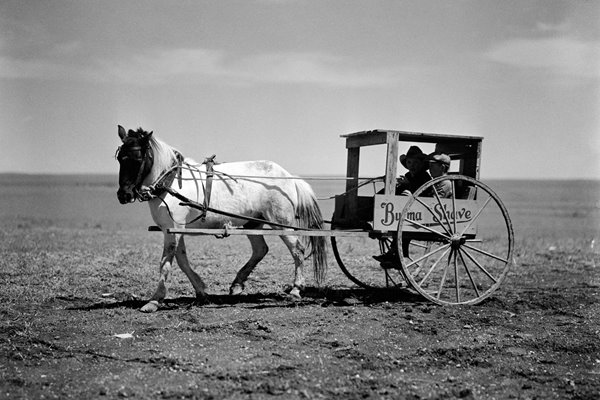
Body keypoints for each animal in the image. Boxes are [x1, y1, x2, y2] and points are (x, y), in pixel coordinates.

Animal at [114, 125, 326, 312]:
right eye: (119, 158)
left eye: (137, 158)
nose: (123, 195)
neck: (171, 181)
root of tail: (289, 177)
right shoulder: (175, 229)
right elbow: (182, 261)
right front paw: (201, 291)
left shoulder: (172, 229)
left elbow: (165, 264)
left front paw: (154, 300)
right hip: (253, 222)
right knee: (260, 249)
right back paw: (237, 284)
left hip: (282, 223)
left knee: (297, 249)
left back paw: (296, 289)